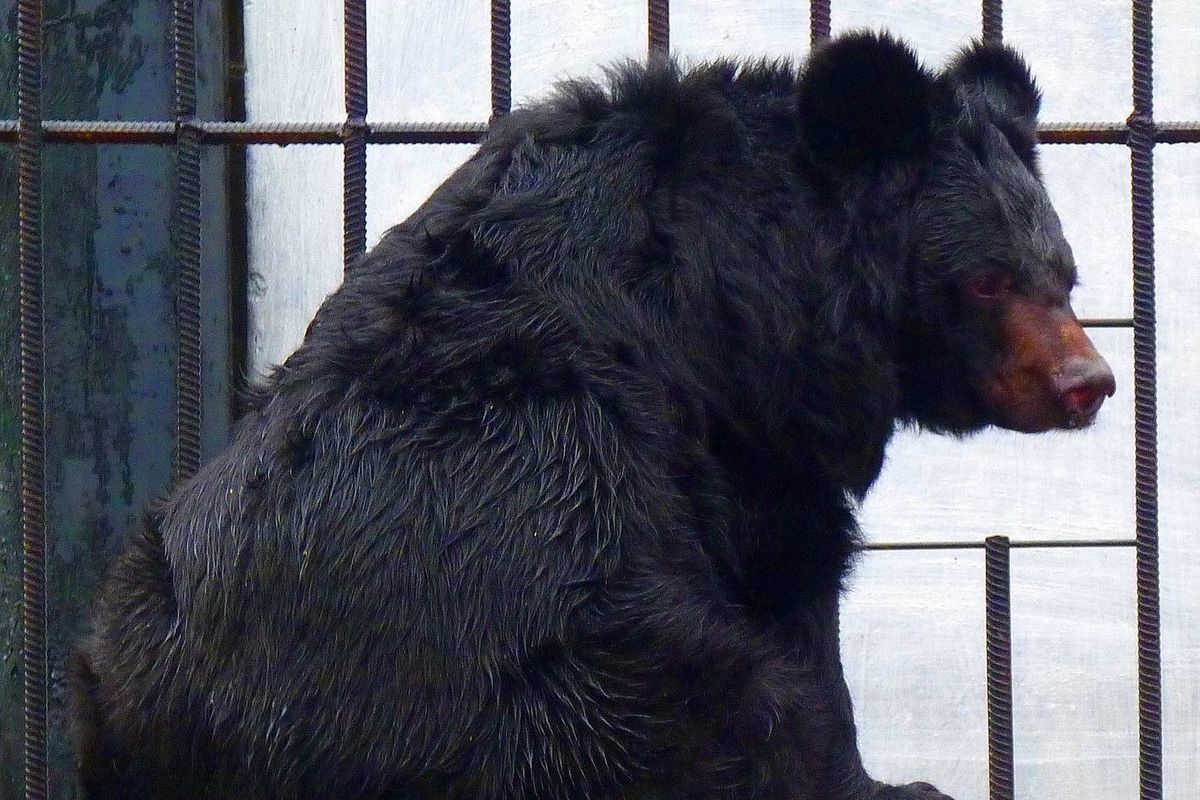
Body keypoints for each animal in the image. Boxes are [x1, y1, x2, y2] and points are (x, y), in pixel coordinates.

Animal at [70, 31, 1108, 800]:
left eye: (1063, 275)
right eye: (987, 280)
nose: (1087, 382)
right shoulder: (743, 422)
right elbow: (796, 582)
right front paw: (881, 780)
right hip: (594, 687)